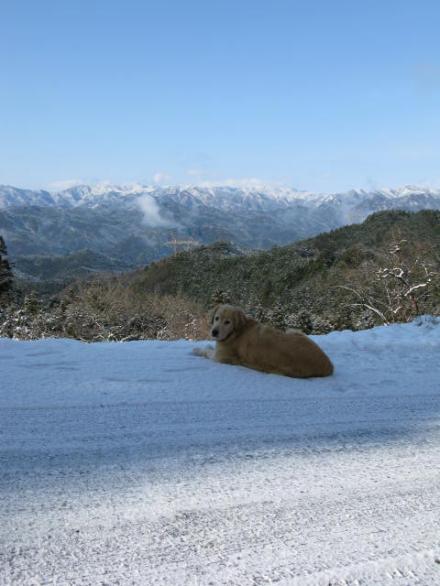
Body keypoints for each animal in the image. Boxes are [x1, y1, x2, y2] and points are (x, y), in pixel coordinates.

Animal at [192, 304, 334, 376]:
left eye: (227, 322)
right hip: (293, 331)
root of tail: (329, 365)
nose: (214, 332)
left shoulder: (220, 357)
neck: (237, 331)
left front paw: (197, 349)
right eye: (216, 318)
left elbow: (206, 351)